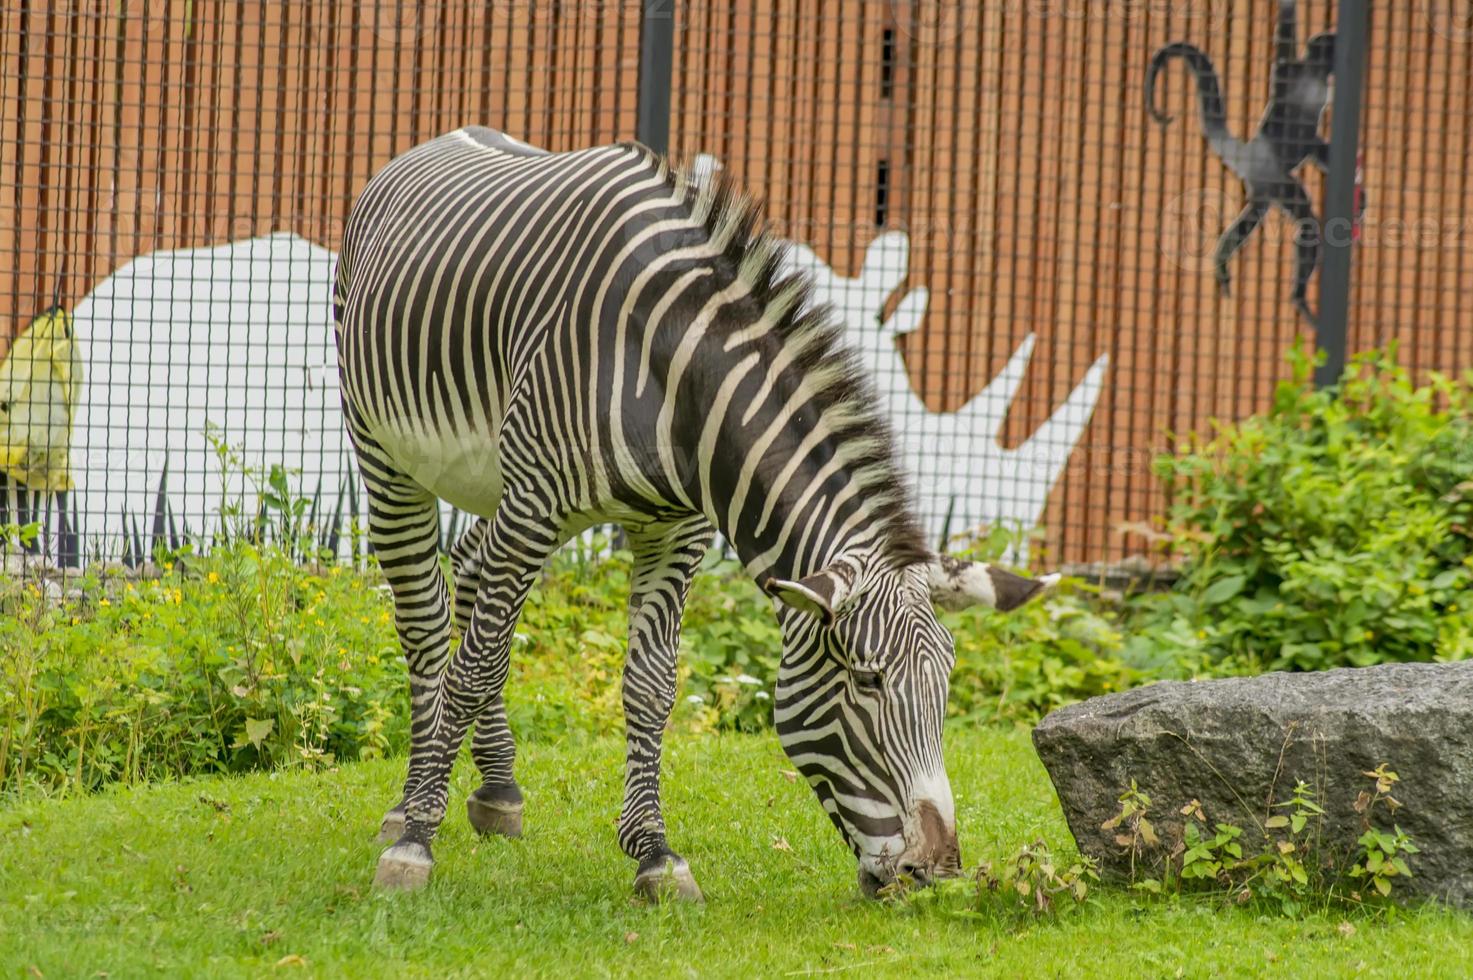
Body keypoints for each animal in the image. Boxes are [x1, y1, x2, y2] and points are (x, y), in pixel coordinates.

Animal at [335, 129, 1054, 901]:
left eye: (946, 682)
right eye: (867, 681)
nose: (937, 872)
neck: (672, 370)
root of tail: (443, 139)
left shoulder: (674, 530)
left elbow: (650, 687)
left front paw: (654, 852)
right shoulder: (534, 505)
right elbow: (471, 668)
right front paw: (415, 842)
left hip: (500, 486)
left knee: (472, 578)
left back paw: (498, 789)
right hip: (388, 454)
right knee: (428, 621)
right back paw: (409, 806)